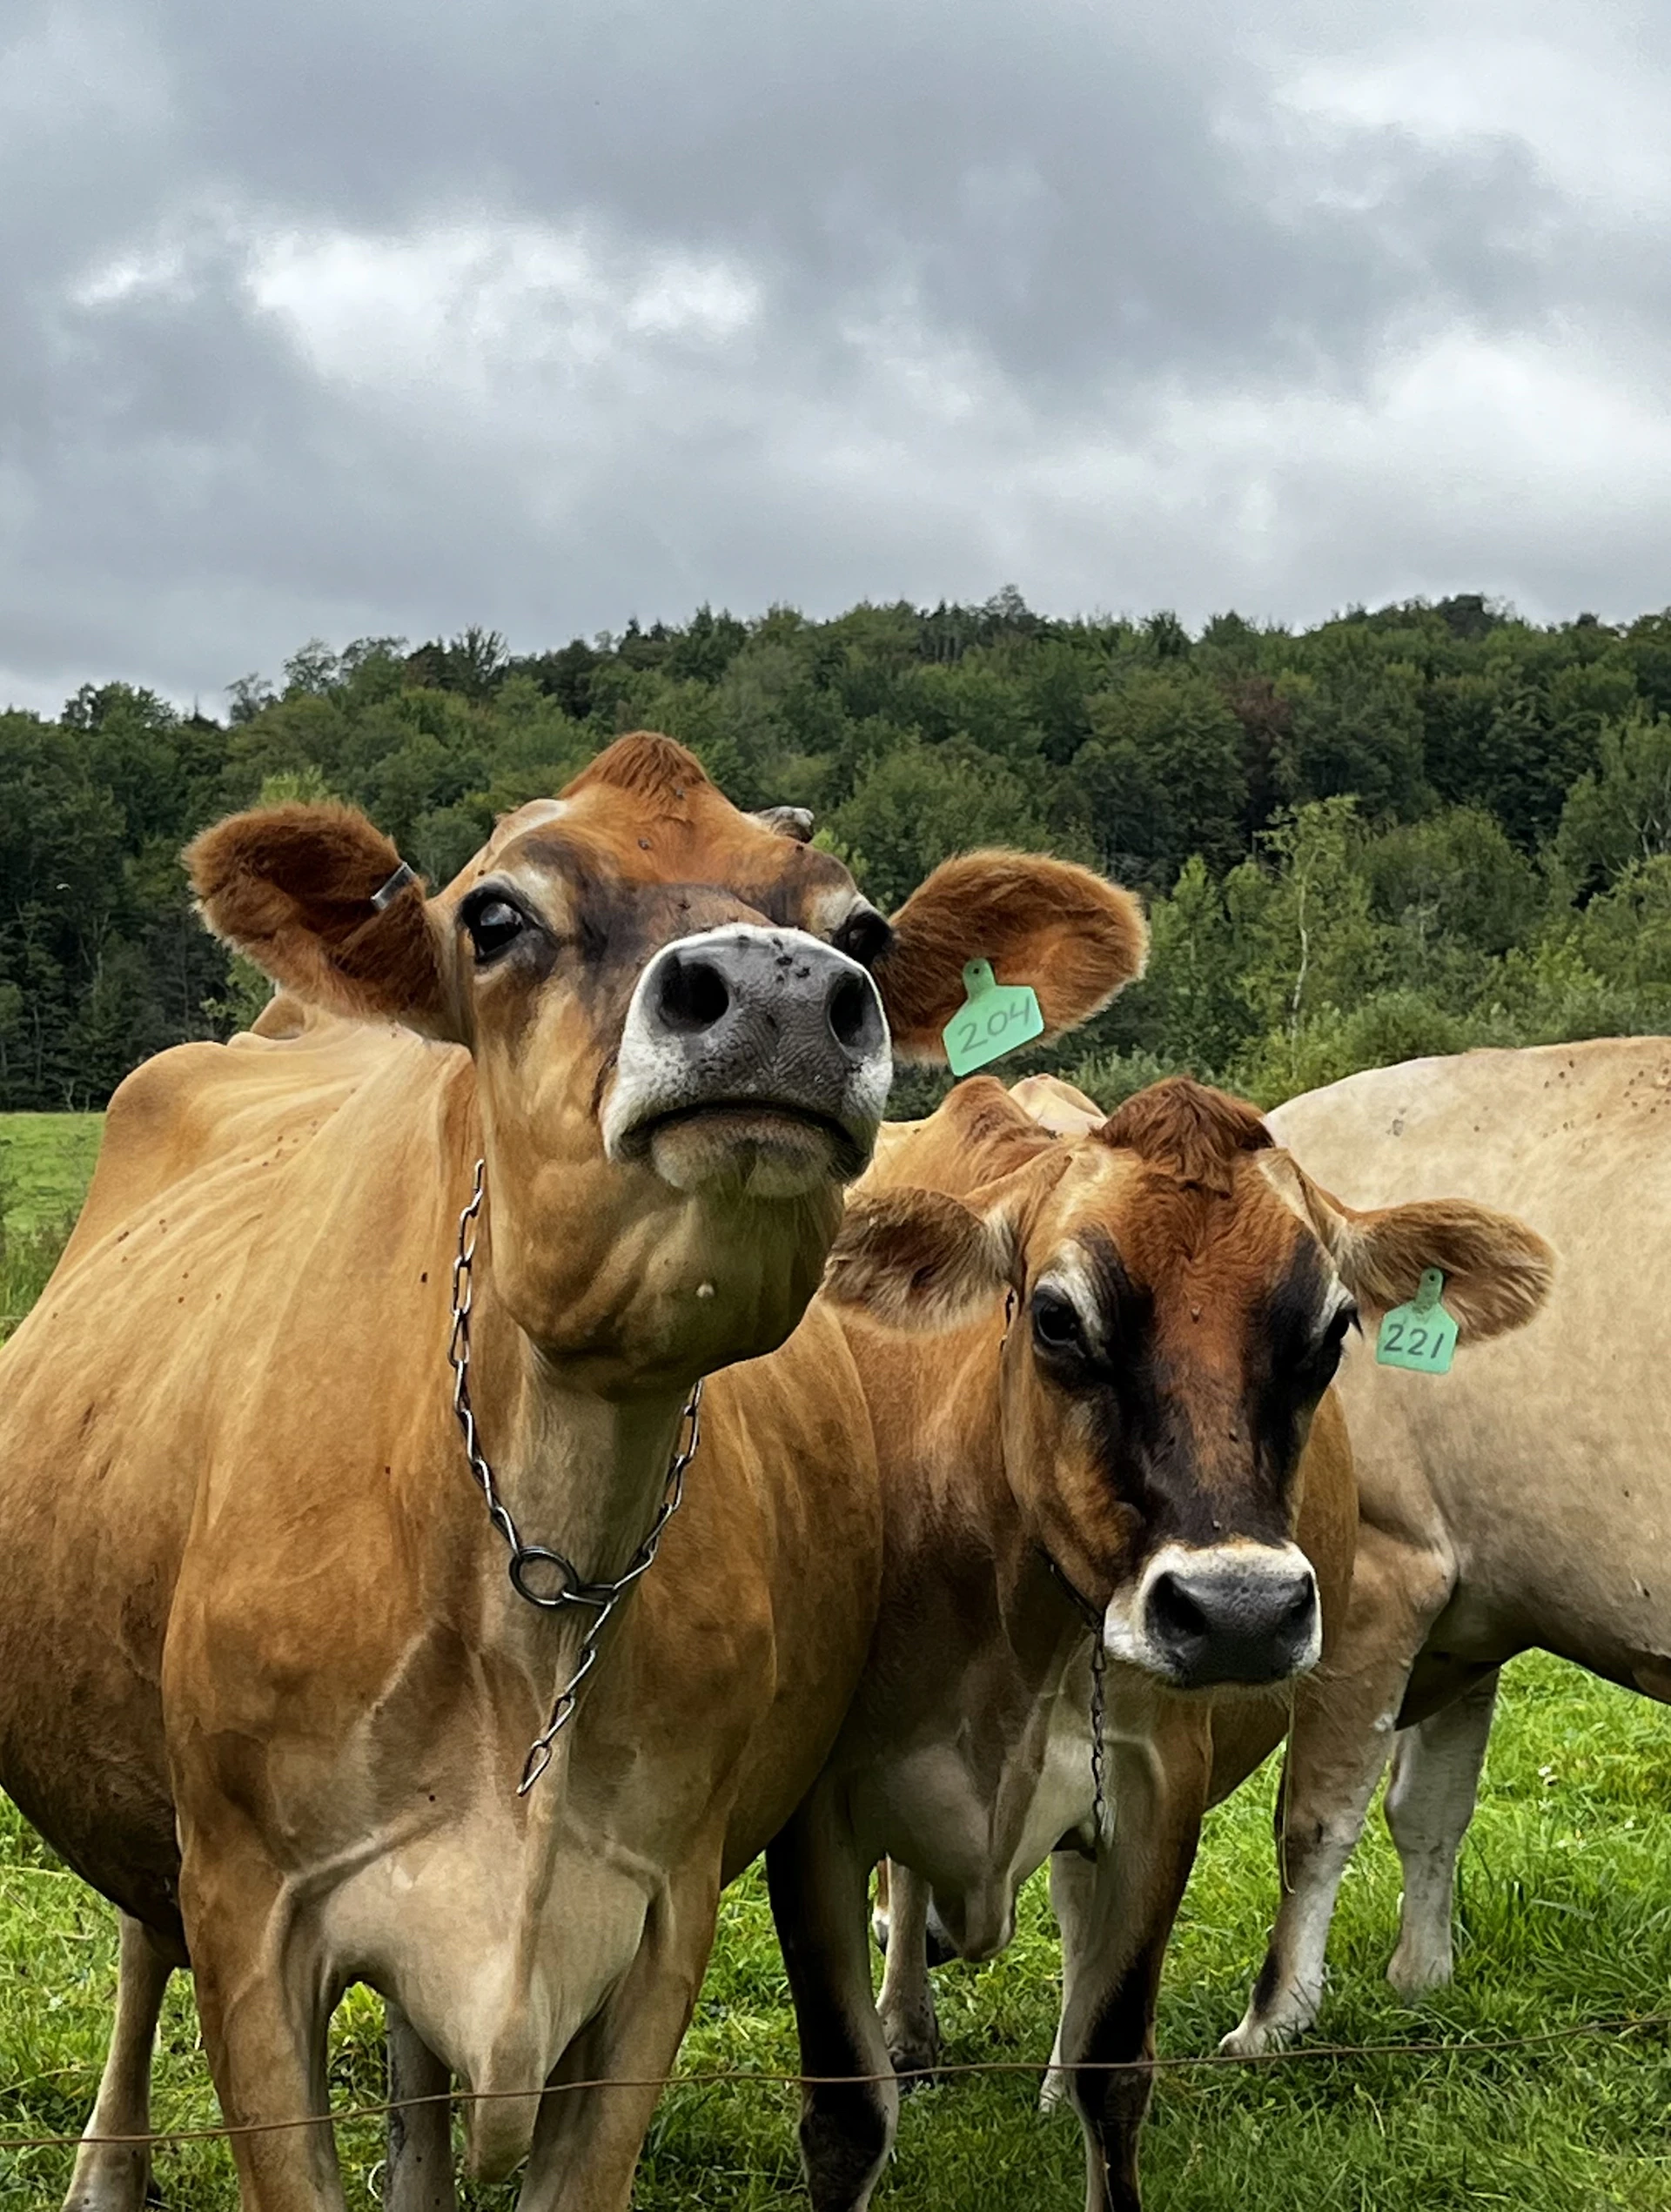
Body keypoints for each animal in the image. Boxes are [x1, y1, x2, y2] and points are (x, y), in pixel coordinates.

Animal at [0, 730, 1149, 2212]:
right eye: (493, 917)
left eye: (861, 932)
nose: (780, 990)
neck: (536, 1571)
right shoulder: (253, 1910)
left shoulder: (661, 1917)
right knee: (143, 1936)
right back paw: (104, 2167)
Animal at [775, 1070, 1552, 2212]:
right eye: (1056, 1317)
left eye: (1333, 1329)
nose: (1240, 1610)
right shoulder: (811, 1809)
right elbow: (844, 2112)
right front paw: (892, 2055)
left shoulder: (1158, 1789)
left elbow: (1115, 2064)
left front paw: (1077, 2083)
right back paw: (911, 2030)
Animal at [1221, 1037, 1667, 2055]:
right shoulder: (1470, 1610)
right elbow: (1429, 1809)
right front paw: (1422, 1980)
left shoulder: (1380, 1569)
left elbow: (1315, 1816)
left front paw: (1274, 2017)